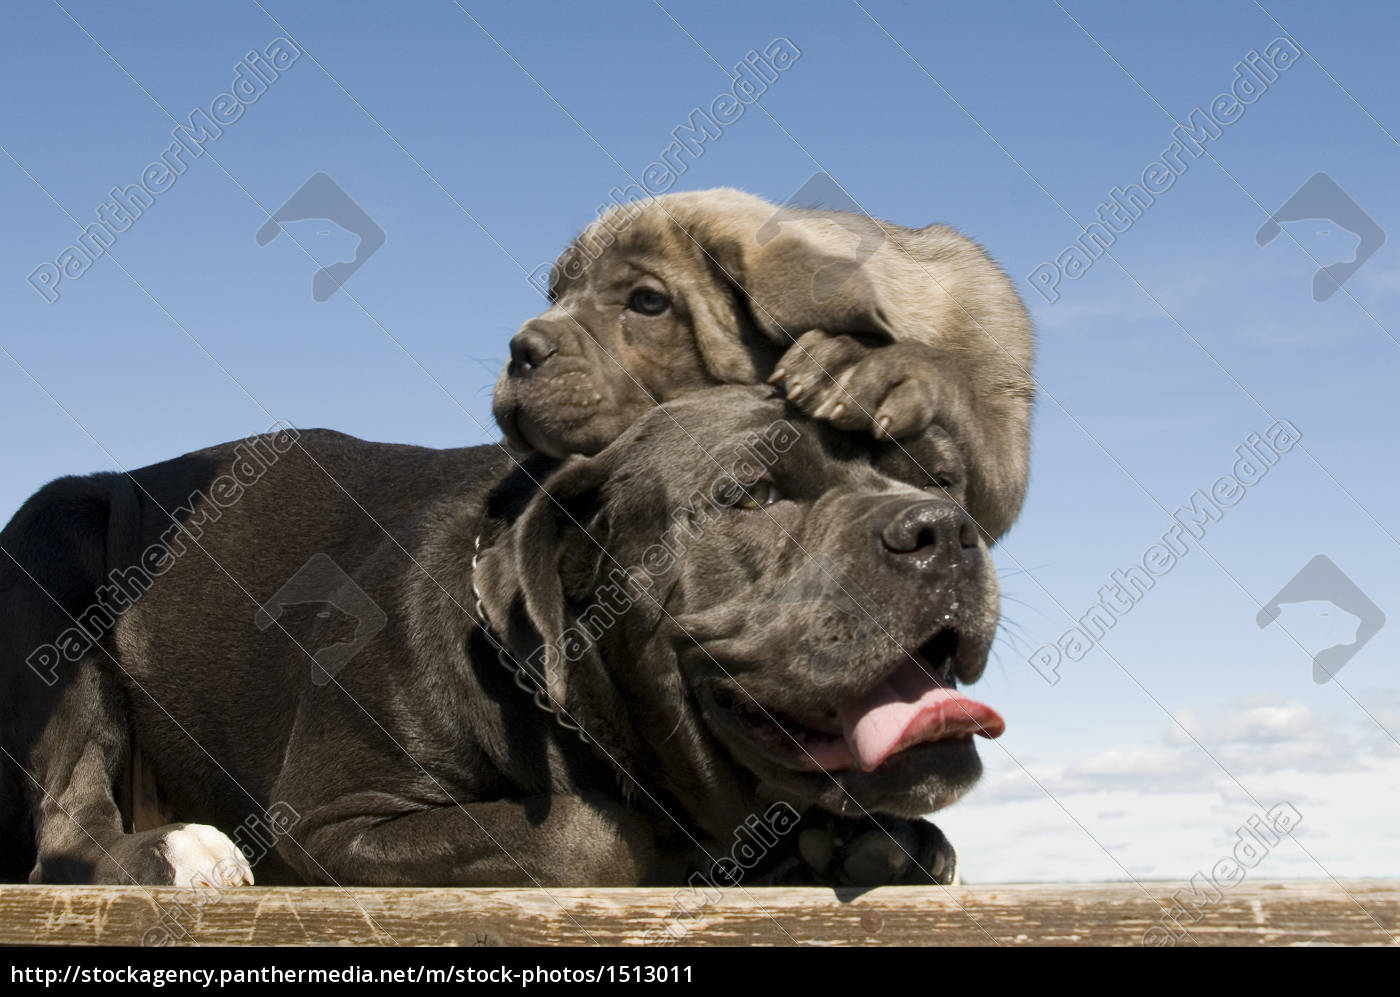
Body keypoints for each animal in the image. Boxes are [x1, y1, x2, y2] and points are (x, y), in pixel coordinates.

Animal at [2, 386, 1008, 890]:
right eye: (753, 492)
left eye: (936, 476)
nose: (944, 527)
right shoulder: (333, 818)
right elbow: (586, 835)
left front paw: (859, 840)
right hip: (59, 546)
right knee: (67, 824)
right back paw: (171, 851)